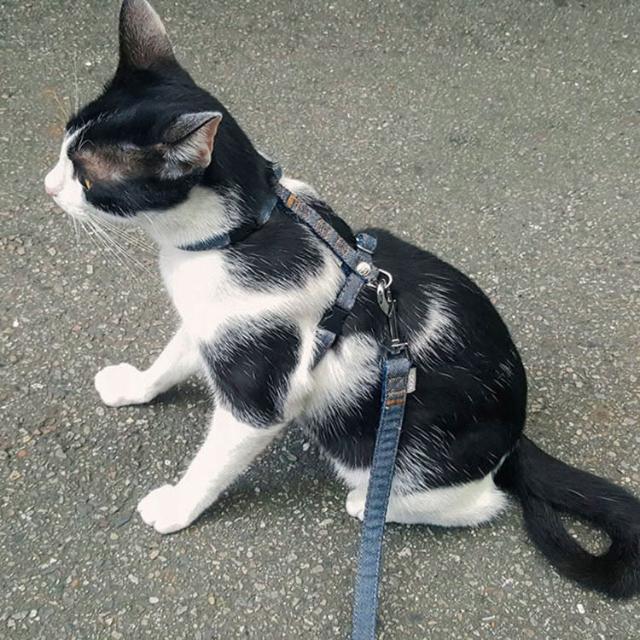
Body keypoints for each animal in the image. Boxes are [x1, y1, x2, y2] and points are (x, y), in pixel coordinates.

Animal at [45, 0, 639, 599]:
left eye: (87, 178)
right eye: (64, 150)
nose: (47, 186)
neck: (241, 234)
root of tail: (516, 432)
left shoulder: (259, 393)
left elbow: (214, 460)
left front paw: (176, 507)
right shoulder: (215, 324)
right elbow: (172, 358)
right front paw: (135, 387)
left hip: (390, 451)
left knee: (478, 503)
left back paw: (370, 502)